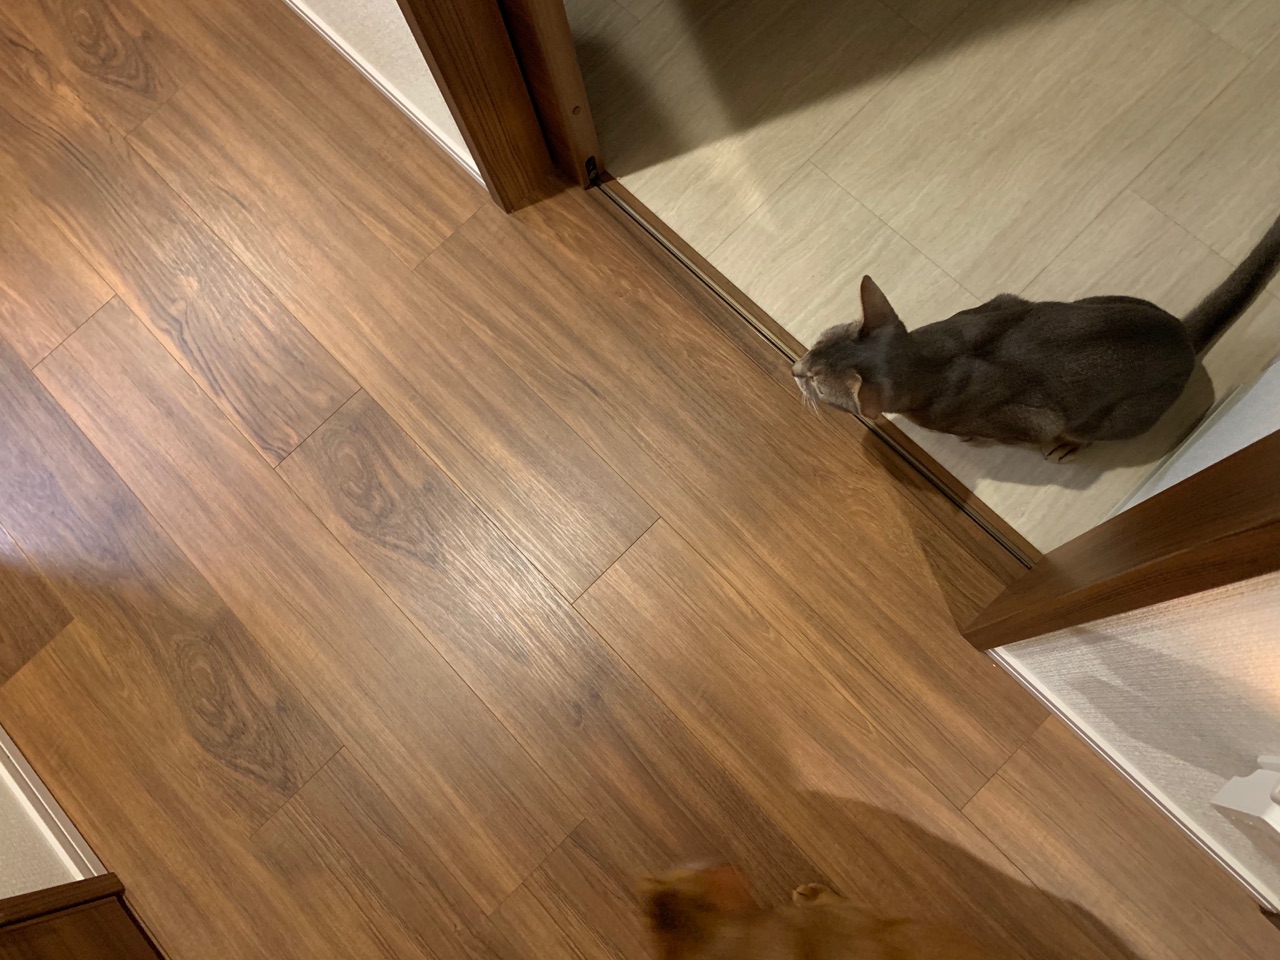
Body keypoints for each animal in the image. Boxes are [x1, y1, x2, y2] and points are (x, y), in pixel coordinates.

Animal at [792, 212, 1280, 461]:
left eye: (815, 380)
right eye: (813, 346)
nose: (795, 368)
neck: (932, 356)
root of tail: (1180, 334)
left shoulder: (1031, 419)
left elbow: (1013, 429)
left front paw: (974, 439)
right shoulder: (1005, 300)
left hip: (1118, 416)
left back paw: (1070, 445)